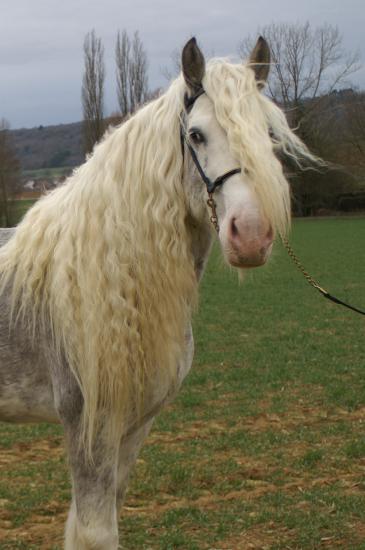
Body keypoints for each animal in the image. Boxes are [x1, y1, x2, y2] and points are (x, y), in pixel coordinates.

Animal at [0, 36, 316, 548]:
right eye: (197, 135)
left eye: (269, 134)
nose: (250, 235)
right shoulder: (88, 427)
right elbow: (96, 532)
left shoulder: (135, 426)